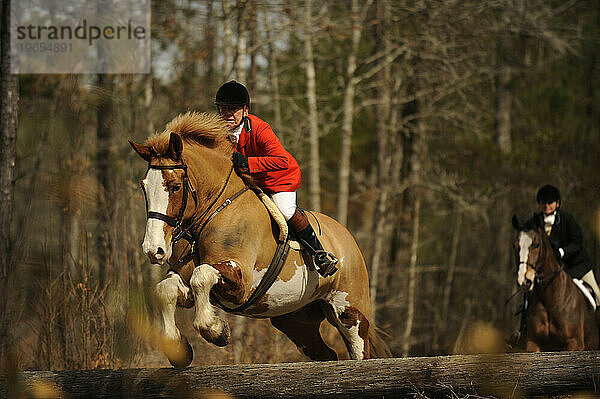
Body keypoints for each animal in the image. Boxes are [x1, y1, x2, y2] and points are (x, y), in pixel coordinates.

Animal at [129, 111, 392, 368]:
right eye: (143, 187)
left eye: (174, 186)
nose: (154, 250)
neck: (214, 210)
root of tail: (346, 237)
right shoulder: (187, 283)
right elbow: (165, 290)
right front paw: (178, 348)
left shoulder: (241, 282)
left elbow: (201, 275)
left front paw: (216, 331)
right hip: (296, 320)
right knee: (324, 353)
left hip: (350, 311)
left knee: (359, 349)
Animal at [510, 216, 600, 354]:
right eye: (515, 246)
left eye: (536, 245)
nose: (524, 281)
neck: (550, 299)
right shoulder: (533, 344)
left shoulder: (574, 343)